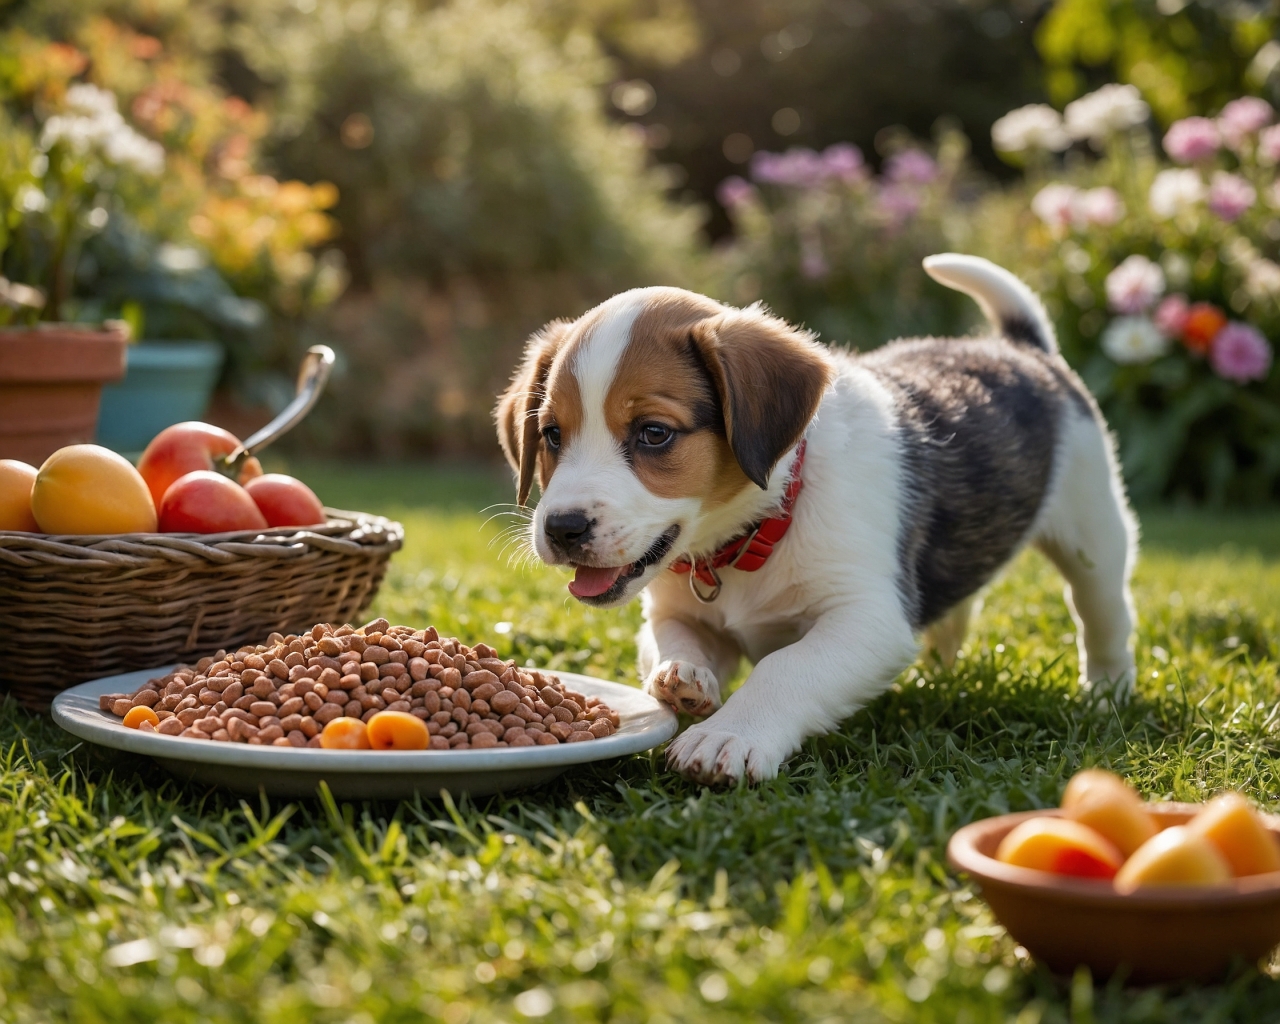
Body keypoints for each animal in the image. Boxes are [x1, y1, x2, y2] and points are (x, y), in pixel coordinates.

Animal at [494, 256, 1136, 783]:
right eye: (552, 435)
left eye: (654, 434)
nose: (562, 528)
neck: (756, 531)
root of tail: (1021, 350)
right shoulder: (672, 610)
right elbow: (672, 643)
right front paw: (685, 677)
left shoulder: (870, 619)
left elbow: (788, 668)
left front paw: (728, 734)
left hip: (1094, 533)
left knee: (1103, 615)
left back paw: (1106, 694)